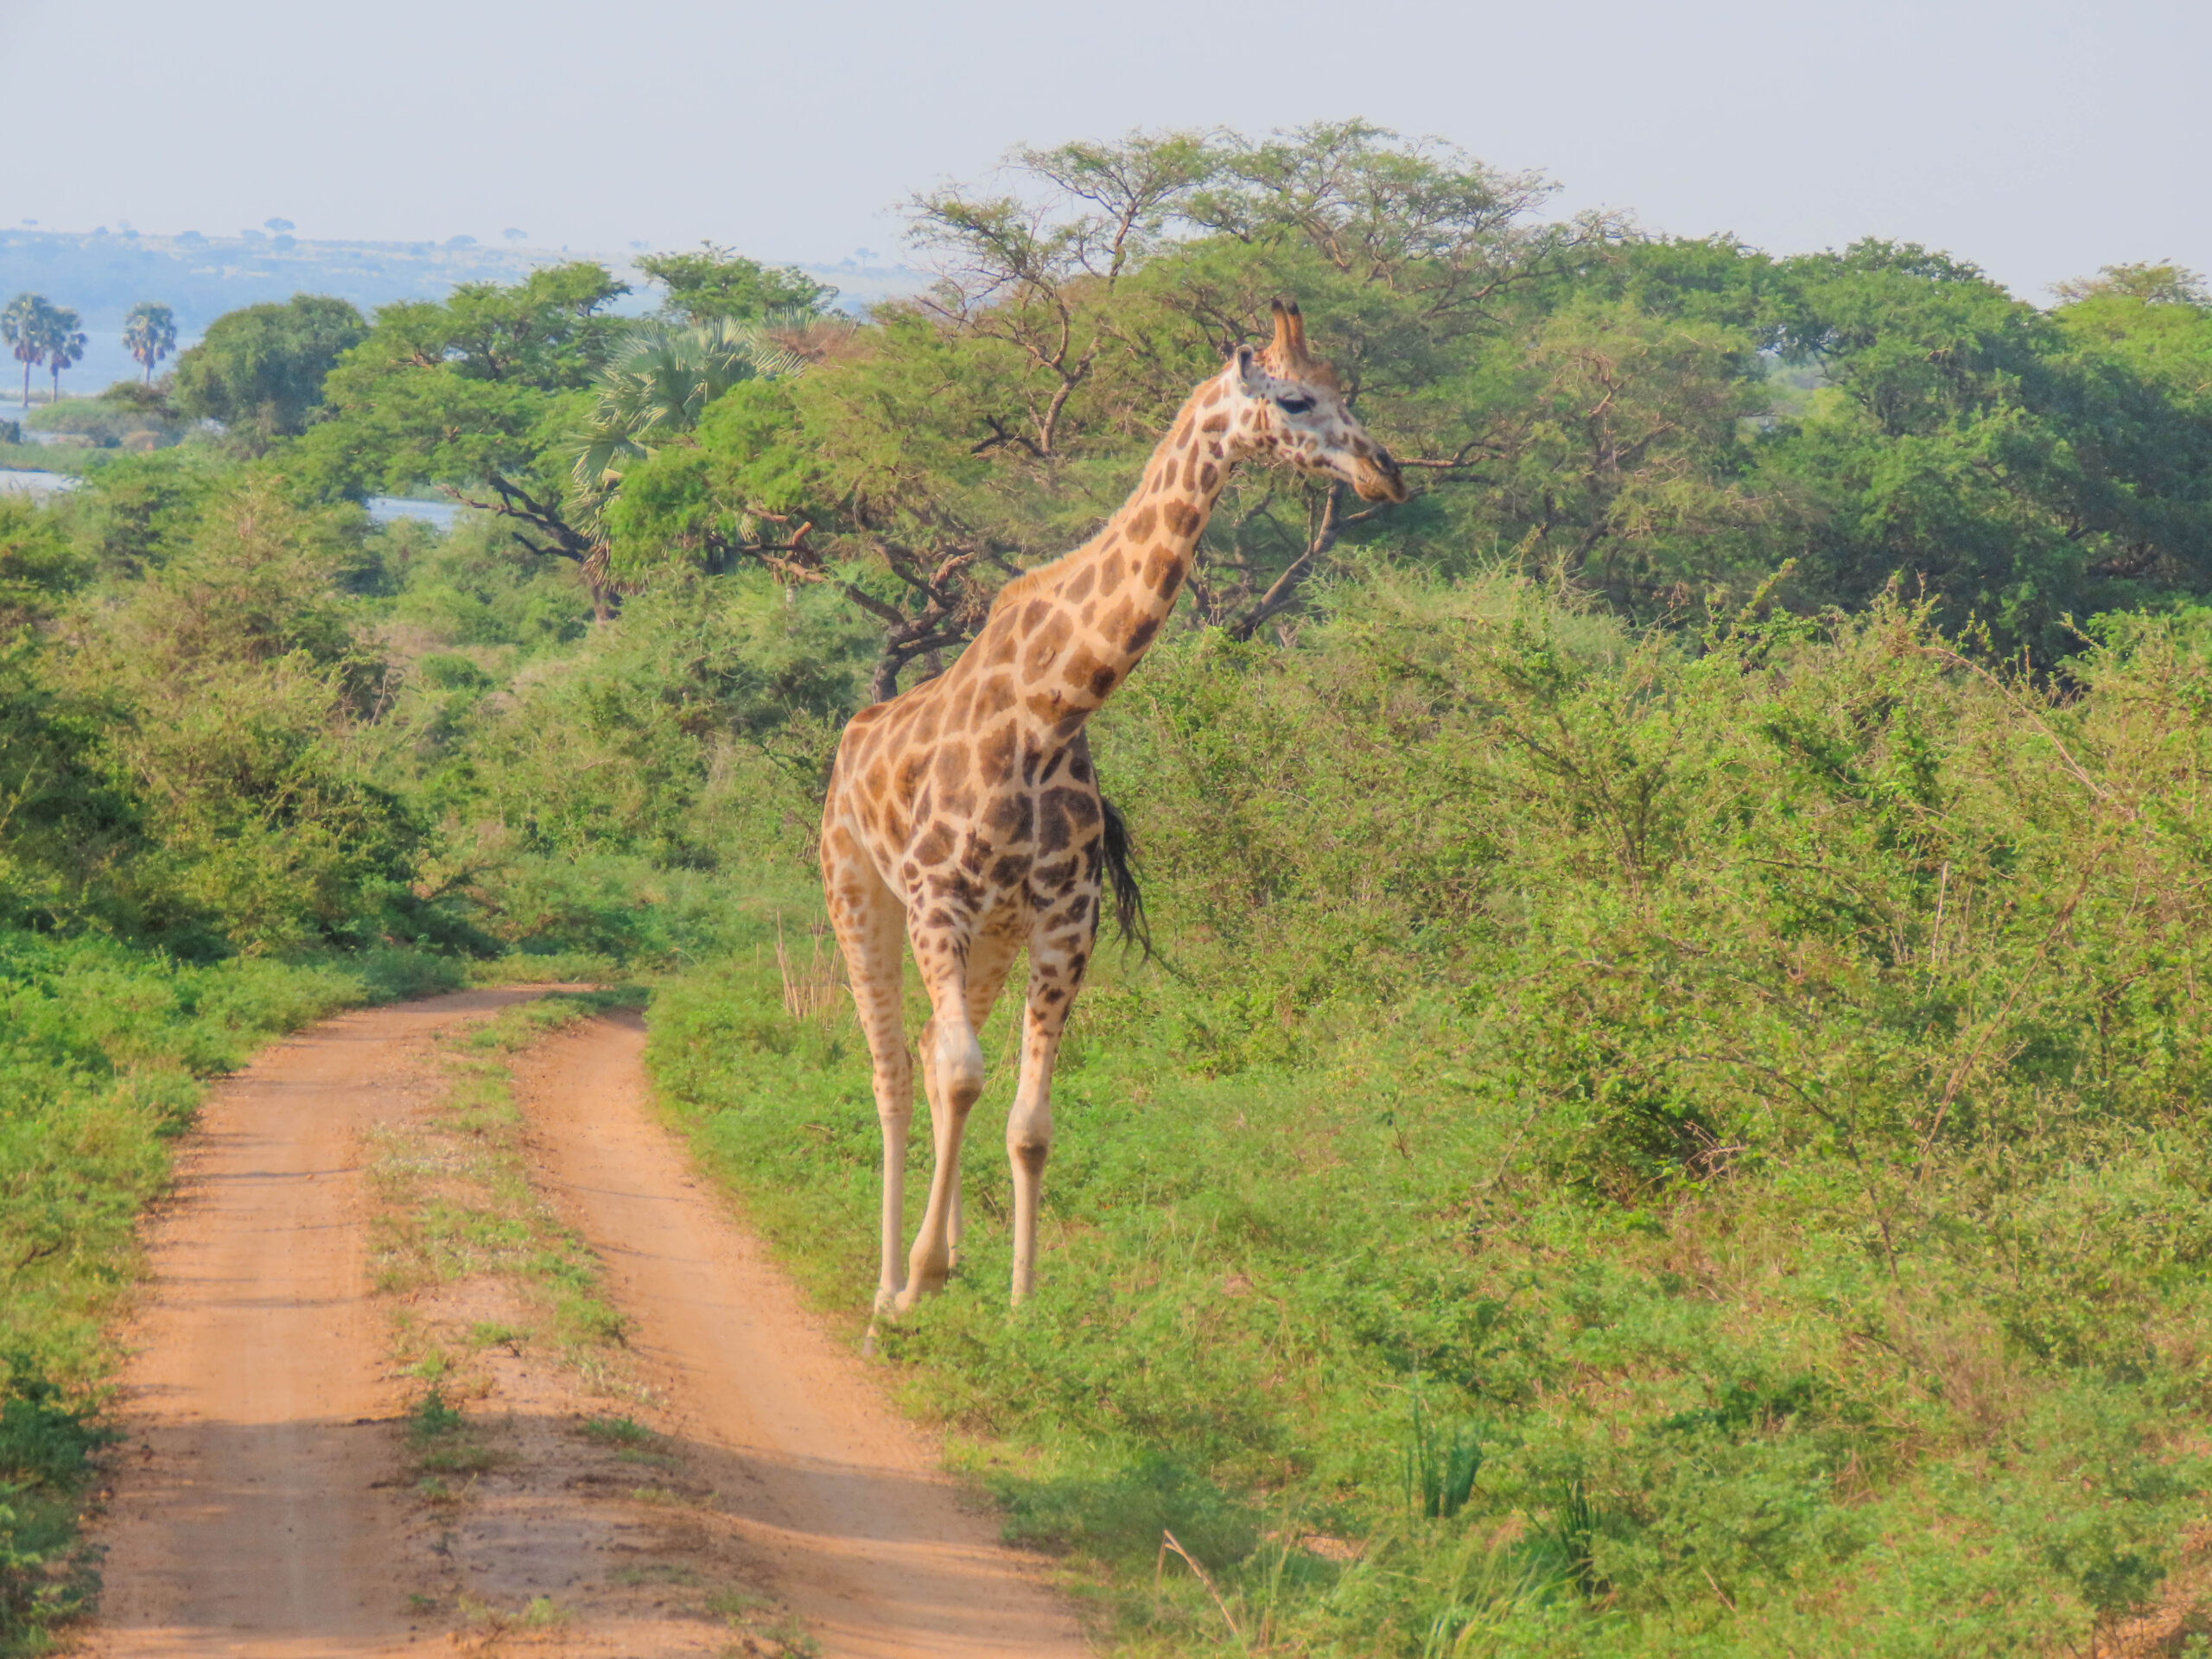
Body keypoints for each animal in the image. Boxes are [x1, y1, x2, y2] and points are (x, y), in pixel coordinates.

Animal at [823, 298, 1407, 1336]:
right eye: (1298, 400)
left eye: (1347, 391)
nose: (1389, 472)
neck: (1052, 710)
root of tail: (850, 741)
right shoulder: (938, 900)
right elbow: (968, 1077)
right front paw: (919, 1282)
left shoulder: (1064, 922)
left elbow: (1026, 1120)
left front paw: (1020, 1305)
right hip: (860, 895)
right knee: (892, 1070)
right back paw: (890, 1289)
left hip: (991, 936)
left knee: (929, 1055)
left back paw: (950, 1262)